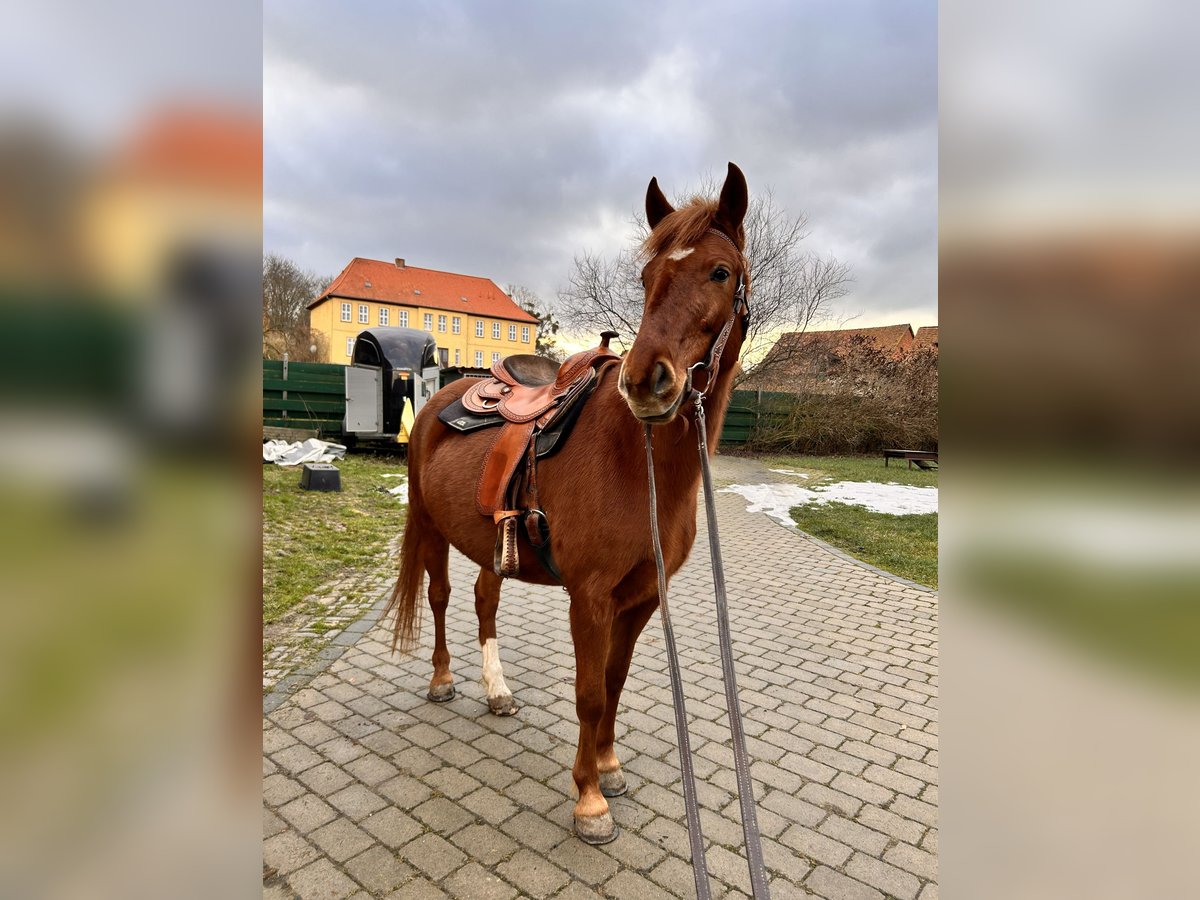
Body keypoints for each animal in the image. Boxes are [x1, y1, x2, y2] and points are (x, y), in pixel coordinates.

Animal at [387, 162, 750, 844]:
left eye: (721, 271)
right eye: (646, 277)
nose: (646, 382)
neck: (636, 462)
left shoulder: (641, 596)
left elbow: (614, 682)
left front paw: (608, 767)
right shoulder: (591, 596)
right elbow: (588, 692)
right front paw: (589, 800)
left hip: (488, 539)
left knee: (484, 599)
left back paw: (497, 690)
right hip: (429, 525)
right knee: (440, 597)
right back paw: (444, 680)